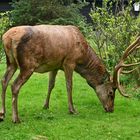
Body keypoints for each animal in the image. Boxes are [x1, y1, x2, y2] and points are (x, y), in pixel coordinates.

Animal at [0, 25, 140, 122]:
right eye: (111, 92)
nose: (111, 109)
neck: (82, 57)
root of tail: (7, 38)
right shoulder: (69, 62)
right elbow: (69, 85)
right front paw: (72, 110)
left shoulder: (55, 65)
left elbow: (51, 85)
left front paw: (45, 106)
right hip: (28, 64)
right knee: (14, 85)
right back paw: (16, 118)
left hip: (11, 62)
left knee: (4, 80)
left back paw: (3, 113)